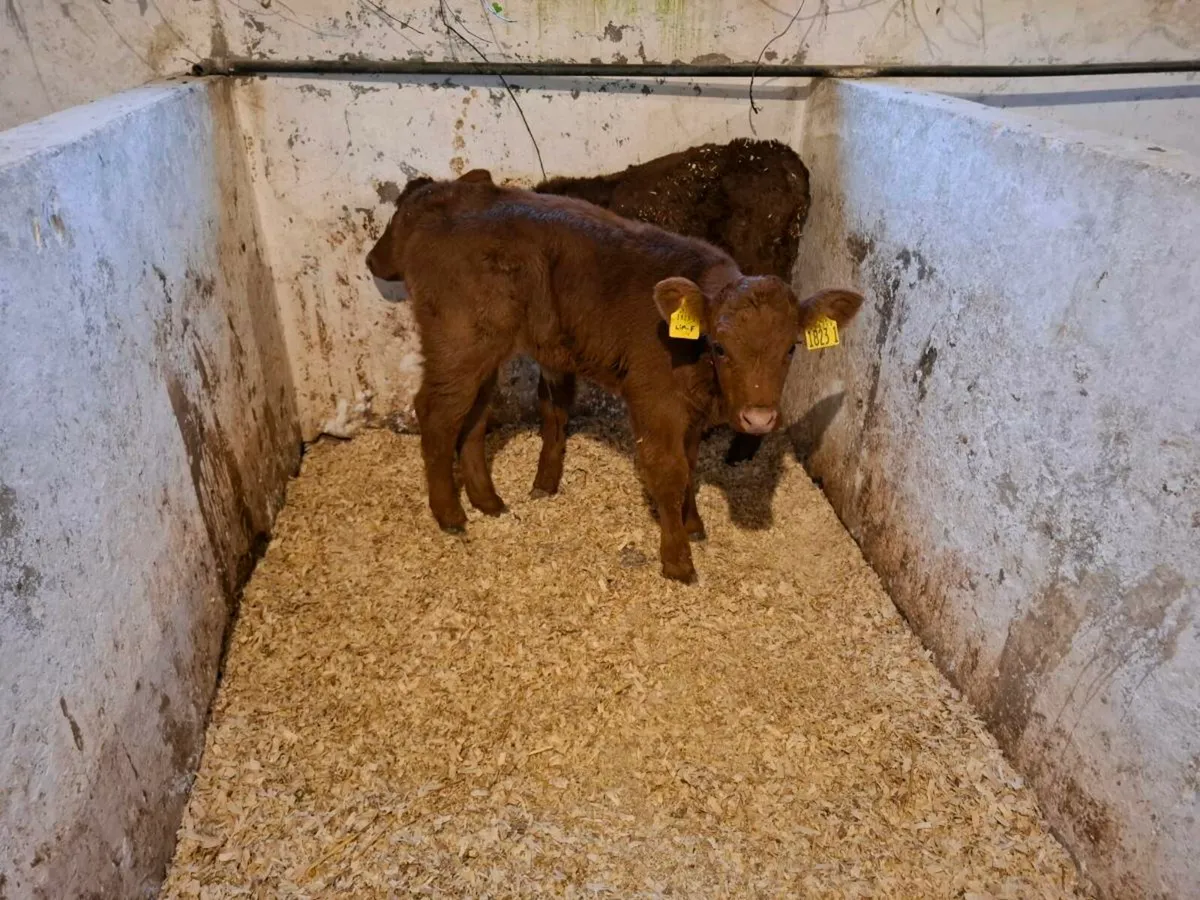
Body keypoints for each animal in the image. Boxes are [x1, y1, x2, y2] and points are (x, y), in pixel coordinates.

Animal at [366, 170, 863, 583]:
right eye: (719, 347)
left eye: (791, 348)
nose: (758, 418)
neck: (698, 371)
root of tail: (448, 194)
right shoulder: (654, 401)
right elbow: (669, 471)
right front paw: (678, 560)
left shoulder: (690, 412)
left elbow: (691, 465)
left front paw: (694, 524)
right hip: (456, 341)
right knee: (436, 413)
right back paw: (450, 514)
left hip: (486, 348)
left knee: (473, 416)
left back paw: (488, 501)